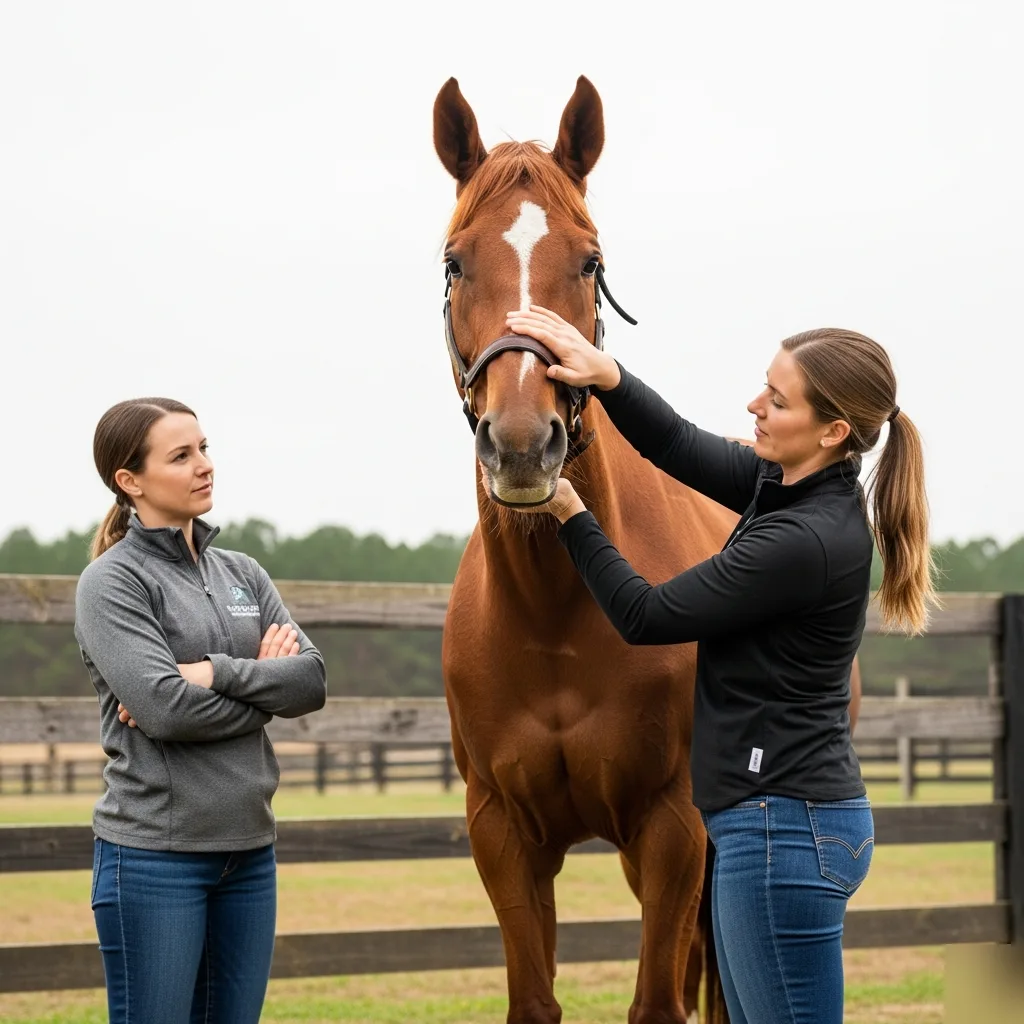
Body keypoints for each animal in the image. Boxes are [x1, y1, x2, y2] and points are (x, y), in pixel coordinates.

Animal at [433, 75, 737, 1024]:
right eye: (454, 262)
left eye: (591, 261)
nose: (523, 445)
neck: (554, 617)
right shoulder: (502, 832)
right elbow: (535, 1000)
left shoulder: (675, 826)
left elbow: (659, 1005)